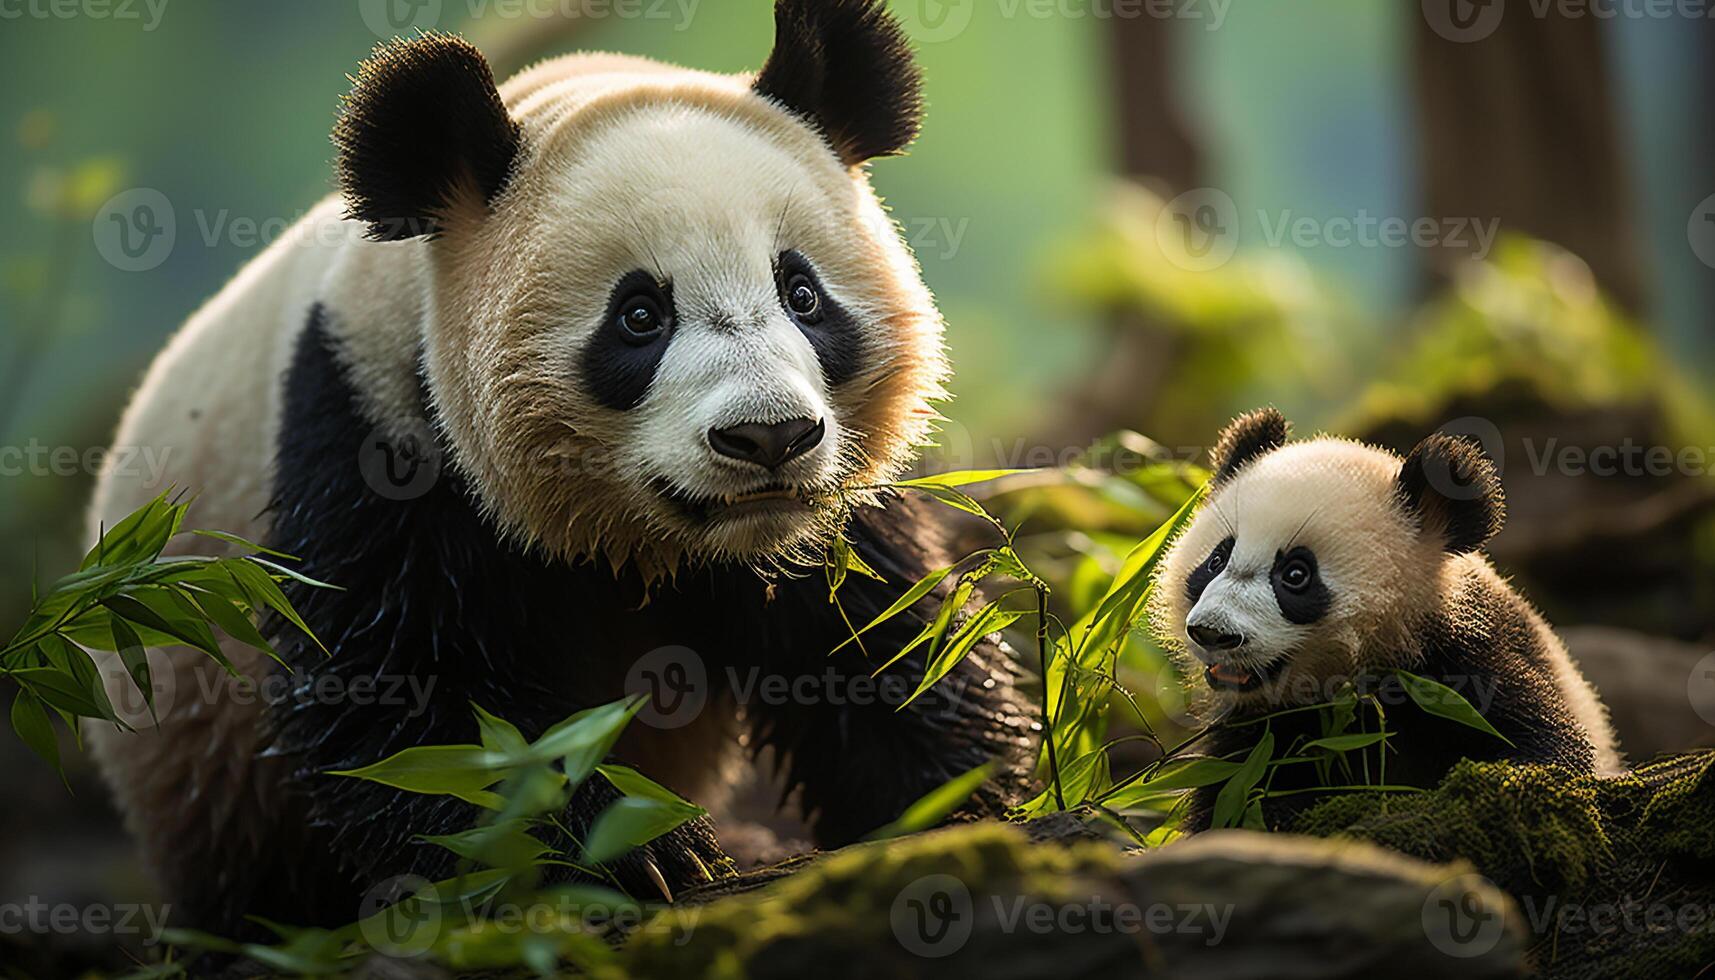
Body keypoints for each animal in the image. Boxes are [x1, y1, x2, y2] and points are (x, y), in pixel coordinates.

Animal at [87, 0, 1029, 933]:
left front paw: (963, 799)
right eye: (639, 316)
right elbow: (403, 700)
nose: (768, 438)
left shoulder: (831, 509)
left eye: (801, 295)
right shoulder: (375, 425)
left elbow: (879, 635)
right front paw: (632, 848)